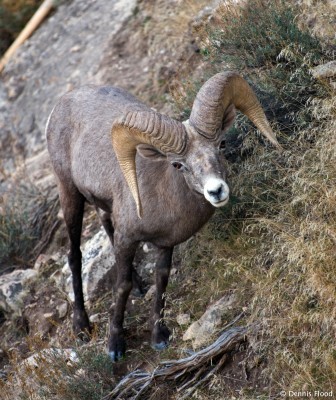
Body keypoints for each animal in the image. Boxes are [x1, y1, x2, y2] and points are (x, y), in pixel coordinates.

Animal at [45, 72, 280, 362]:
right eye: (178, 164)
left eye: (221, 144)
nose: (216, 191)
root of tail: (62, 104)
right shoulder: (128, 238)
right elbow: (121, 286)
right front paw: (115, 346)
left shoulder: (166, 244)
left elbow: (161, 280)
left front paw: (159, 337)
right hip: (70, 194)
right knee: (74, 255)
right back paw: (81, 326)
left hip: (102, 205)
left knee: (105, 226)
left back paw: (139, 286)